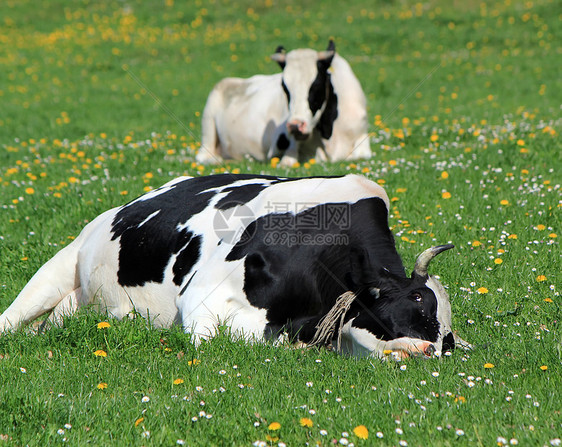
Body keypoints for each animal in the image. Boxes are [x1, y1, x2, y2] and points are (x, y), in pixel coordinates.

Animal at [195, 41, 370, 168]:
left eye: (316, 84)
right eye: (285, 87)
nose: (295, 126)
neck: (329, 130)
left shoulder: (363, 139)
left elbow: (360, 155)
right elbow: (289, 161)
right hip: (208, 125)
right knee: (205, 156)